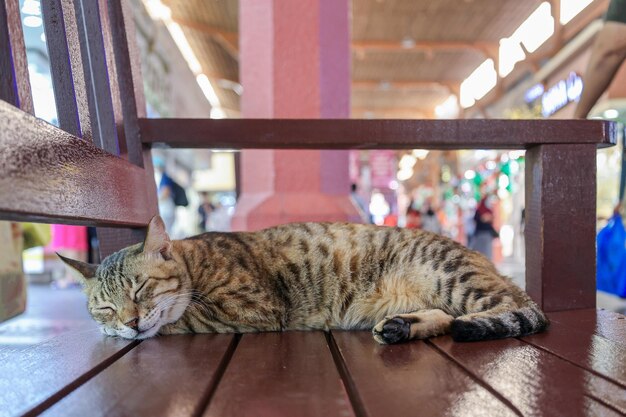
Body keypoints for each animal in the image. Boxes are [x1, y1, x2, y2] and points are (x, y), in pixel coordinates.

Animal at [58, 213, 544, 342]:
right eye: (105, 306)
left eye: (141, 288)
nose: (128, 321)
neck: (197, 262)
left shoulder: (252, 307)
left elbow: (181, 320)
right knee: (445, 317)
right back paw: (402, 327)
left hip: (453, 277)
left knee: (517, 310)